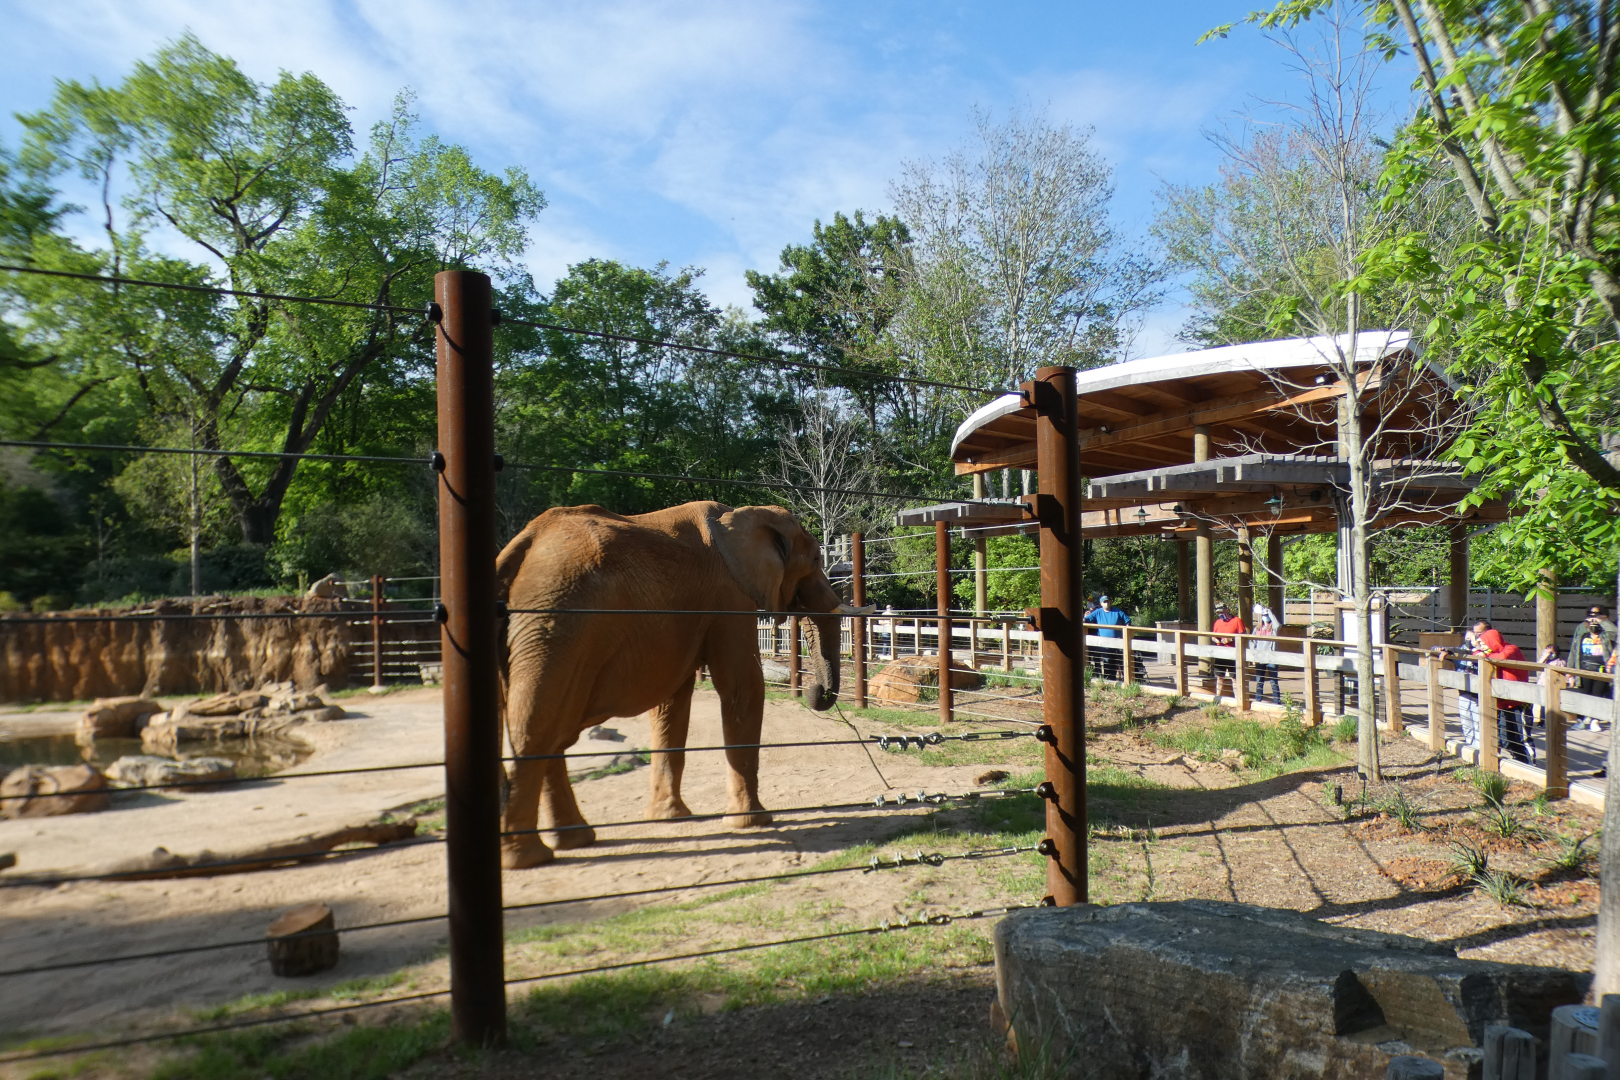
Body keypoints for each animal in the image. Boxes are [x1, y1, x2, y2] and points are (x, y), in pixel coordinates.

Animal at [494, 500, 862, 869]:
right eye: (815, 560)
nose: (816, 692)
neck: (746, 514)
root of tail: (521, 545)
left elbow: (672, 701)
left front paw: (669, 818)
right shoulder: (729, 597)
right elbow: (742, 686)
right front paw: (752, 822)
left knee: (547, 726)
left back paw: (573, 841)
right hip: (558, 621)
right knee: (537, 723)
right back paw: (527, 858)